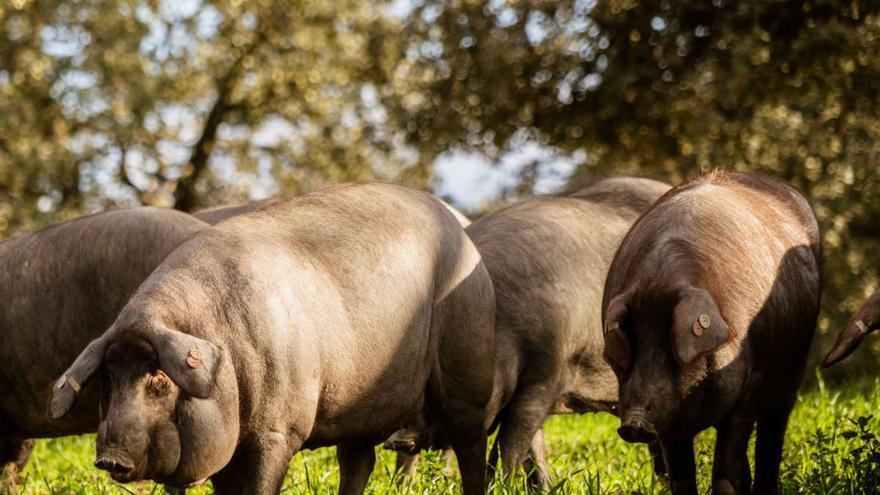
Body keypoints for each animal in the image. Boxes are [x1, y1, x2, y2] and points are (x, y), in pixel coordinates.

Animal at [382, 176, 672, 486]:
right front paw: (542, 486)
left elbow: (513, 441)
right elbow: (533, 447)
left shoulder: (547, 374)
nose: (393, 440)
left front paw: (503, 484)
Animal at [600, 170, 820, 495]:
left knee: (773, 430)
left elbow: (726, 464)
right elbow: (681, 474)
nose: (634, 424)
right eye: (635, 340)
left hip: (793, 365)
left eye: (672, 346)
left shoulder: (750, 384)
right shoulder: (670, 416)